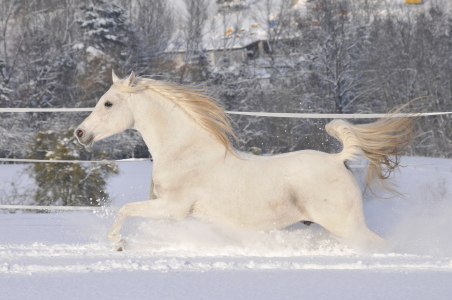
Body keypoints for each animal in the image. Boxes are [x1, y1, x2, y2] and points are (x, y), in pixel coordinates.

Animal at [74, 71, 416, 252]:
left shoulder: (173, 207)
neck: (185, 151)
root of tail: (338, 159)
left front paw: (118, 243)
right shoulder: (172, 212)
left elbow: (124, 210)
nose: (80, 133)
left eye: (108, 103)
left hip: (346, 225)